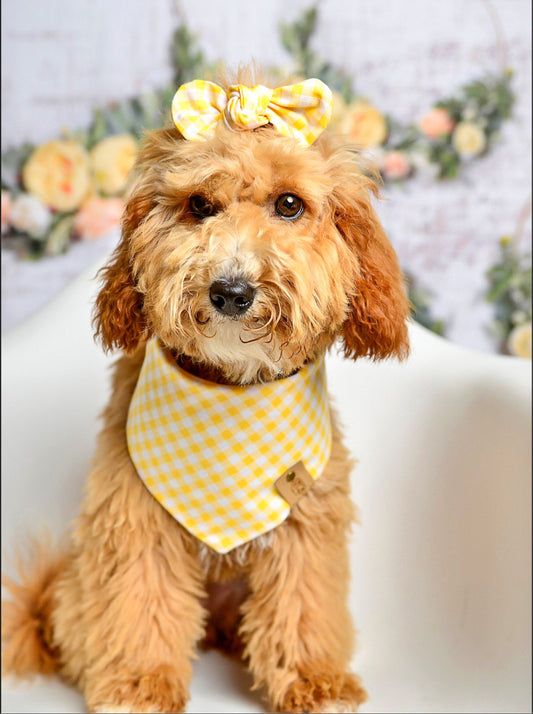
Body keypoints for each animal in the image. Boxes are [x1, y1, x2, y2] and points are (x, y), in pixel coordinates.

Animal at [2, 71, 408, 712]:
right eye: (199, 205)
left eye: (289, 204)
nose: (231, 291)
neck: (231, 390)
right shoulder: (134, 518)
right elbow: (139, 603)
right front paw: (140, 685)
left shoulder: (307, 520)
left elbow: (303, 603)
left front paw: (313, 679)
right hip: (80, 584)